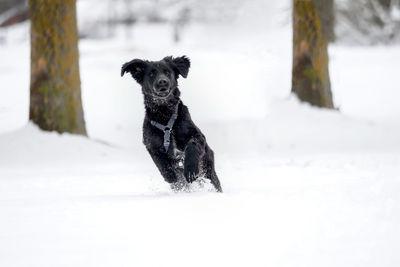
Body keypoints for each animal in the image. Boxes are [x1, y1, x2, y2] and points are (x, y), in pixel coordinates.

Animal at [121, 56, 222, 193]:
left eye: (168, 72)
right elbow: (161, 164)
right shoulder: (151, 145)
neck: (165, 115)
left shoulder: (198, 136)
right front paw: (170, 176)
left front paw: (190, 168)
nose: (162, 82)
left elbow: (192, 145)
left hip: (209, 170)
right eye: (151, 74)